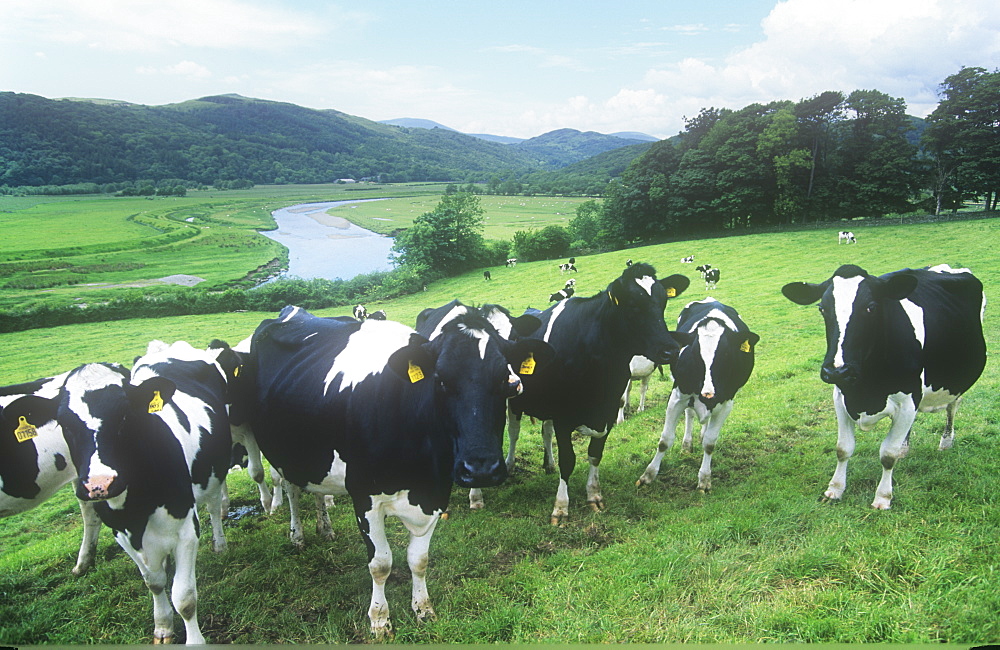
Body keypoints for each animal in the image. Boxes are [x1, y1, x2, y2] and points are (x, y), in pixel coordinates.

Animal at [243, 306, 556, 636]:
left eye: (504, 378)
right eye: (440, 380)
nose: (481, 468)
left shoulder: (435, 493)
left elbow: (419, 559)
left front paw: (423, 609)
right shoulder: (364, 497)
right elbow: (380, 564)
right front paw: (380, 620)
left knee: (315, 489)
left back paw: (325, 528)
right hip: (279, 448)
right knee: (290, 488)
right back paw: (297, 535)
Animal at [508, 260, 688, 524]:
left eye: (663, 301)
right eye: (633, 305)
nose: (670, 350)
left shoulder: (608, 410)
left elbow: (595, 454)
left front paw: (594, 495)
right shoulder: (564, 417)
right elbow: (569, 460)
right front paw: (561, 507)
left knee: (545, 432)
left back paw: (548, 464)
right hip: (513, 400)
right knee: (513, 432)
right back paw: (510, 464)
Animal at [632, 298, 756, 492]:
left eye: (725, 353)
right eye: (695, 352)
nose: (708, 392)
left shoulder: (726, 404)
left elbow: (710, 443)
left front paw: (704, 479)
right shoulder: (677, 397)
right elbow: (665, 440)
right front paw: (648, 475)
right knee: (689, 414)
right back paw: (687, 444)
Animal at [780, 262, 984, 506]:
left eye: (870, 307)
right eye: (822, 308)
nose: (836, 370)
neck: (865, 391)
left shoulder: (908, 399)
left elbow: (888, 455)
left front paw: (883, 497)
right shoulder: (841, 396)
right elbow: (843, 449)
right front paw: (835, 489)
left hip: (955, 382)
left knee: (952, 407)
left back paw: (945, 442)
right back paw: (905, 447)